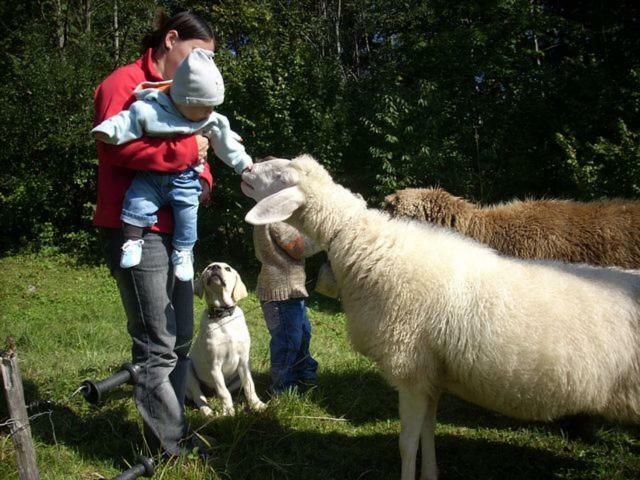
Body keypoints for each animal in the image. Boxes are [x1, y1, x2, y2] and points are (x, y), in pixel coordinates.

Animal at [185, 262, 268, 416]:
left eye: (228, 269)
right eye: (207, 268)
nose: (214, 267)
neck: (223, 316)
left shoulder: (244, 361)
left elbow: (249, 386)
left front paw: (257, 405)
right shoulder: (214, 365)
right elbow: (223, 391)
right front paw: (229, 413)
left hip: (241, 374)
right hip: (188, 370)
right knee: (198, 395)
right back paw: (207, 410)